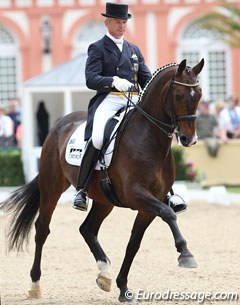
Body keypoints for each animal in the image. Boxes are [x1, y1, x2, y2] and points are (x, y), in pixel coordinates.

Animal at [1, 58, 204, 302]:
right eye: (179, 96)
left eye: (199, 95)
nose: (189, 139)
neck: (149, 139)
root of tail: (60, 123)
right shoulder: (137, 195)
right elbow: (168, 214)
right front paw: (185, 253)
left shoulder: (148, 204)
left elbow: (134, 243)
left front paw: (123, 288)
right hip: (51, 187)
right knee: (42, 229)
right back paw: (35, 284)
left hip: (103, 199)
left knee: (87, 229)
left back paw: (104, 274)